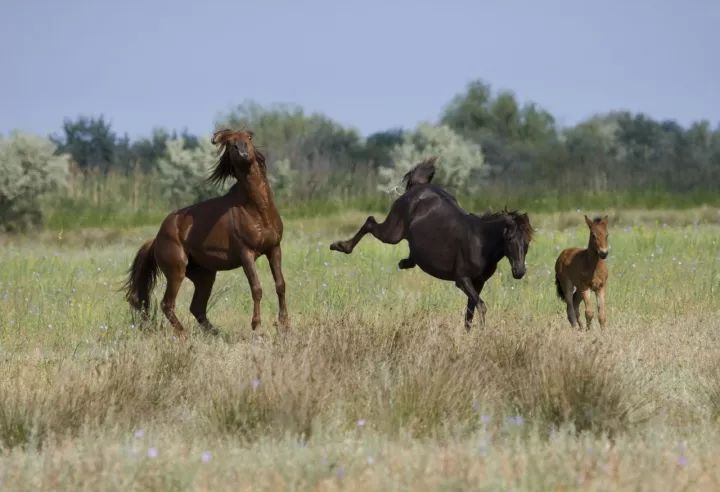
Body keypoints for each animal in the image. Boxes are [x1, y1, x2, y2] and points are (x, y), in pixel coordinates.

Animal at [125, 129, 288, 338]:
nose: (242, 152)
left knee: (197, 307)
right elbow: (257, 288)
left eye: (249, 138)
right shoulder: (246, 254)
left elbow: (280, 284)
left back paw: (217, 333)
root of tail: (156, 239)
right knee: (167, 304)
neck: (258, 210)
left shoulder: (274, 248)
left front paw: (284, 324)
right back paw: (184, 334)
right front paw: (257, 327)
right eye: (231, 144)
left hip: (205, 276)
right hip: (176, 272)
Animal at [330, 160, 532, 328]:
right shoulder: (462, 279)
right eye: (509, 238)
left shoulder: (478, 282)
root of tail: (417, 187)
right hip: (392, 232)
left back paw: (404, 262)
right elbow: (481, 307)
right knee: (370, 222)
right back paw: (339, 246)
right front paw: (482, 333)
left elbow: (470, 313)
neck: (481, 242)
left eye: (528, 241)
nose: (519, 271)